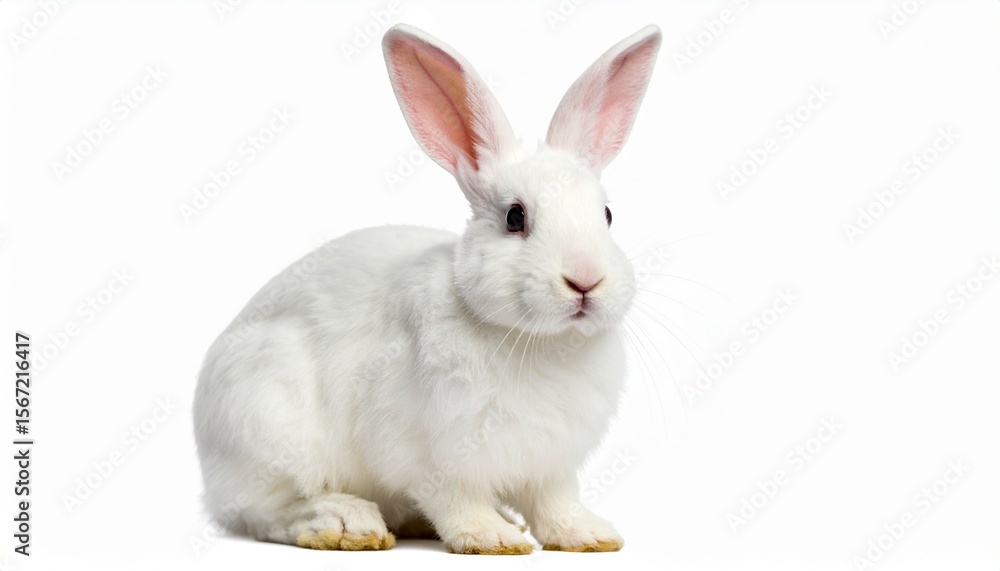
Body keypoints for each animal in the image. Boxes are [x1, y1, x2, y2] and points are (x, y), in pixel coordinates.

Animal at [193, 23, 662, 555]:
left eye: (607, 215)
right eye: (514, 217)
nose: (585, 280)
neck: (539, 341)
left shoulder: (551, 466)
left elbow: (555, 503)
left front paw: (589, 535)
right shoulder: (431, 456)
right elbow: (455, 500)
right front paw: (491, 539)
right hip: (271, 426)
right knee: (269, 511)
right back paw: (346, 523)